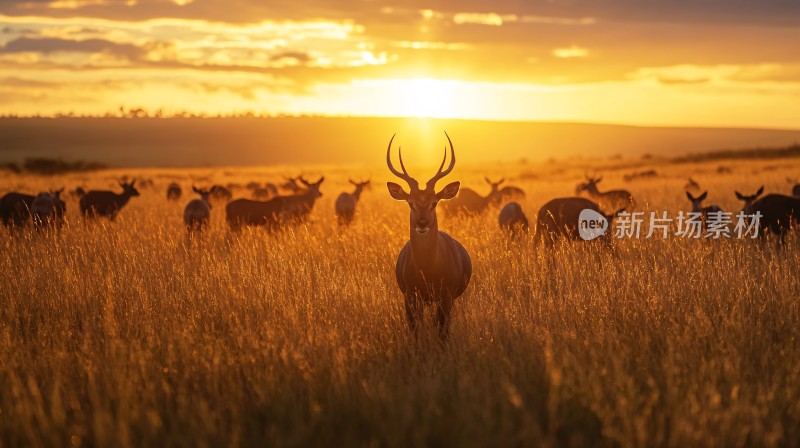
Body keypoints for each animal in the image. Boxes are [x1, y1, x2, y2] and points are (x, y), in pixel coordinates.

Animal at [386, 131, 472, 338]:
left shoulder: (446, 296)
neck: (427, 269)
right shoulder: (410, 296)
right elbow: (415, 330)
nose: (422, 223)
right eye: (410, 202)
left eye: (435, 202)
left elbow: (442, 331)